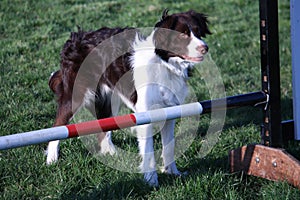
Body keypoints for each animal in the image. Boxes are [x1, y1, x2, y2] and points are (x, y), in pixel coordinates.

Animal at [47, 10, 211, 187]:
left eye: (198, 32)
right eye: (182, 34)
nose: (205, 48)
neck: (165, 63)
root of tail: (75, 37)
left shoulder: (170, 111)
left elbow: (169, 147)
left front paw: (173, 172)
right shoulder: (145, 115)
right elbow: (148, 151)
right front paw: (151, 181)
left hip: (110, 99)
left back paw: (112, 154)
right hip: (75, 95)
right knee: (58, 125)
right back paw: (52, 159)